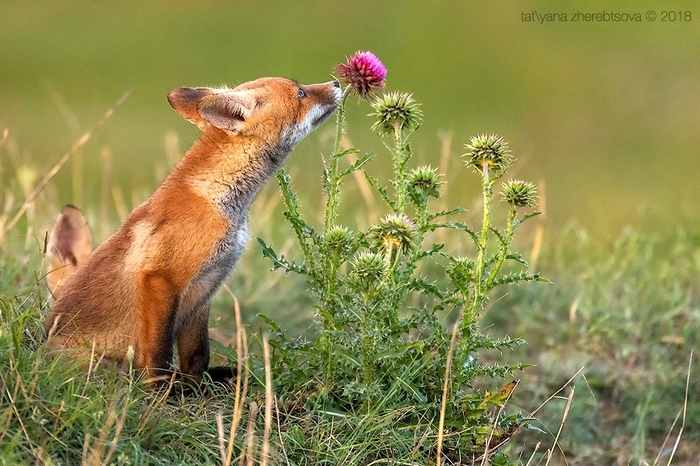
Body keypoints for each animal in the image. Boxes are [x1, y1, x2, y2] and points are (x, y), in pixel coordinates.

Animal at [44, 76, 342, 382]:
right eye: (301, 93)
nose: (336, 82)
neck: (221, 201)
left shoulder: (203, 288)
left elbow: (197, 354)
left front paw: (198, 385)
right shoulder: (161, 278)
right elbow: (158, 355)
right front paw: (161, 389)